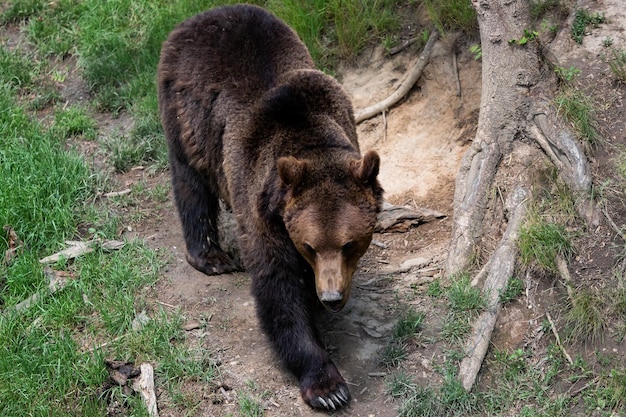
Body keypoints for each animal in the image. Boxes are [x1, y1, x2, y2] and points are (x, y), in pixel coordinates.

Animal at [157, 4, 380, 410]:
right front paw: (328, 388)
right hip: (186, 113)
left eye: (349, 244)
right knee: (190, 184)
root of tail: (201, 15)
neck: (308, 138)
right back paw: (210, 255)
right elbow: (277, 287)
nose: (332, 297)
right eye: (310, 245)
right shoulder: (261, 202)